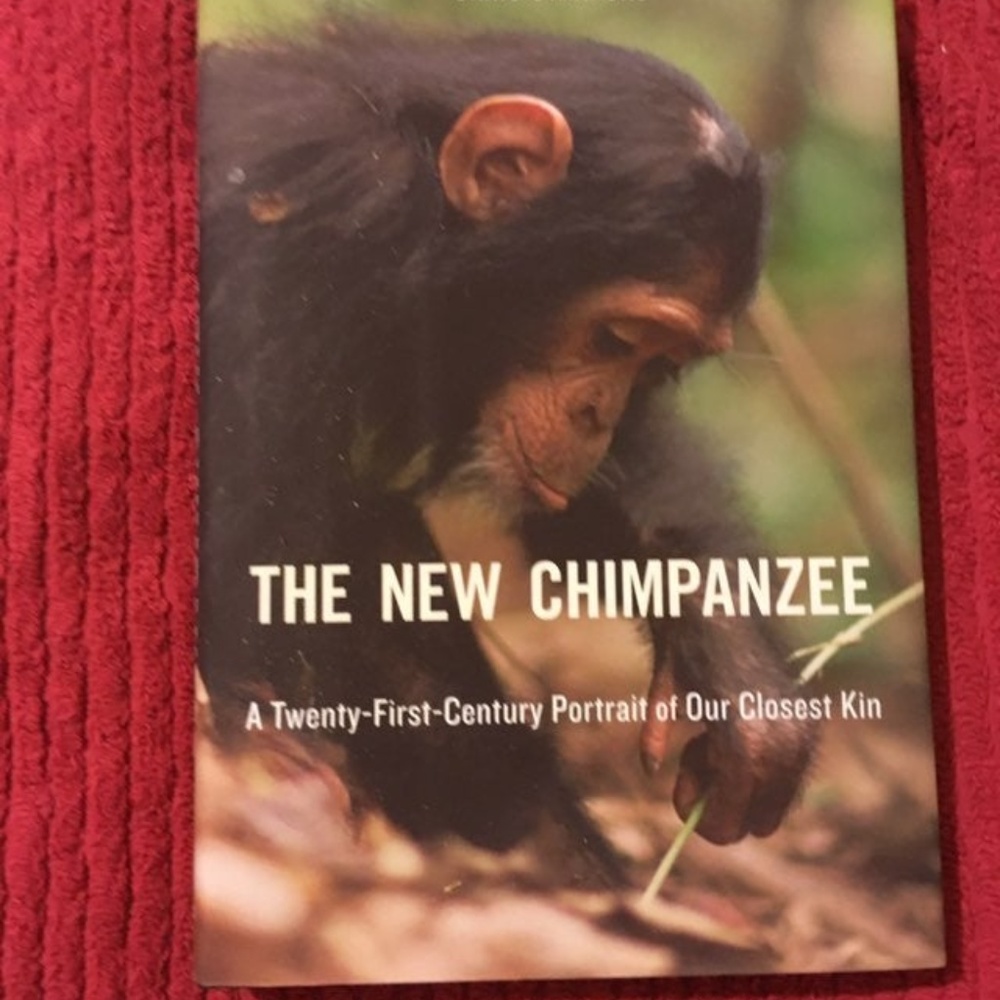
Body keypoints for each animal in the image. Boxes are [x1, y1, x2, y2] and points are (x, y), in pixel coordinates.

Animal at [198, 17, 818, 876]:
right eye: (618, 337)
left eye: (657, 365)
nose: (596, 413)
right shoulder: (318, 211)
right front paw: (279, 752)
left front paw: (740, 675)